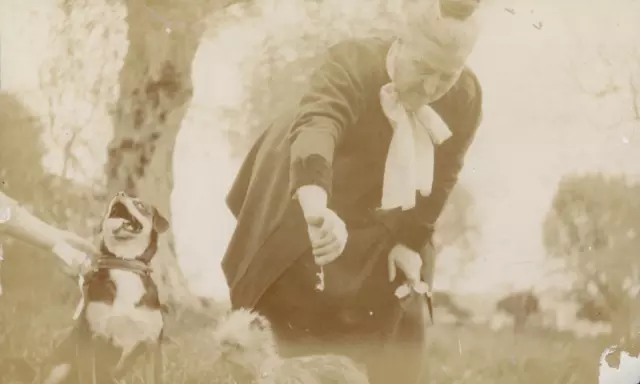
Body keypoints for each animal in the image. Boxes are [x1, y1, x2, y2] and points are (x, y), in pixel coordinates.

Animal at [40, 192, 170, 384]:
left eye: (140, 204)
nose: (120, 193)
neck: (124, 265)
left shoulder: (152, 345)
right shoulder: (89, 338)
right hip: (60, 368)